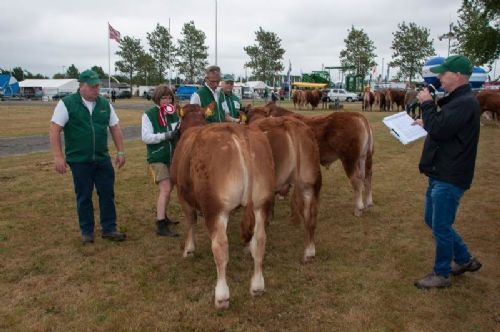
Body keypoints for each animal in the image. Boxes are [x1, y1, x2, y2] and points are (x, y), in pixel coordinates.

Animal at [171, 104, 274, 308]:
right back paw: (257, 286)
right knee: (260, 240)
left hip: (215, 207)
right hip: (261, 203)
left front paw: (189, 249)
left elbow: (190, 221)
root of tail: (239, 131)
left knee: (220, 247)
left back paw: (221, 296)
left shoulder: (182, 194)